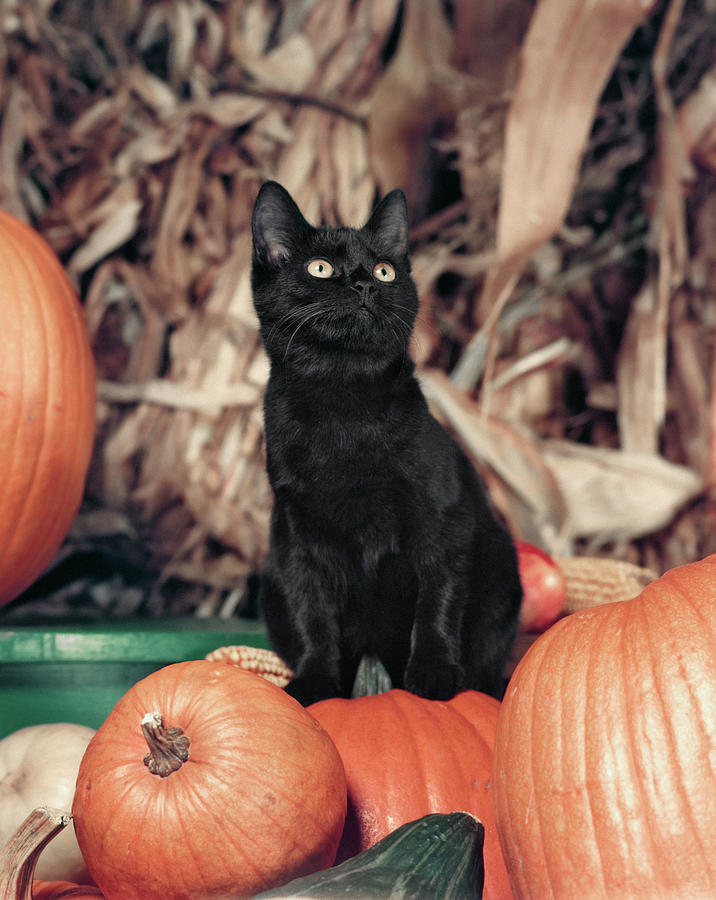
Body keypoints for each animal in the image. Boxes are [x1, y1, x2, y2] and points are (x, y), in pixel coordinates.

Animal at [252, 181, 520, 704]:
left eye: (384, 270)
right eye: (320, 268)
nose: (364, 285)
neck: (343, 406)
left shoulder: (442, 521)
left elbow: (437, 600)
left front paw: (433, 674)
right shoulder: (298, 535)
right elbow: (313, 613)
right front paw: (314, 682)